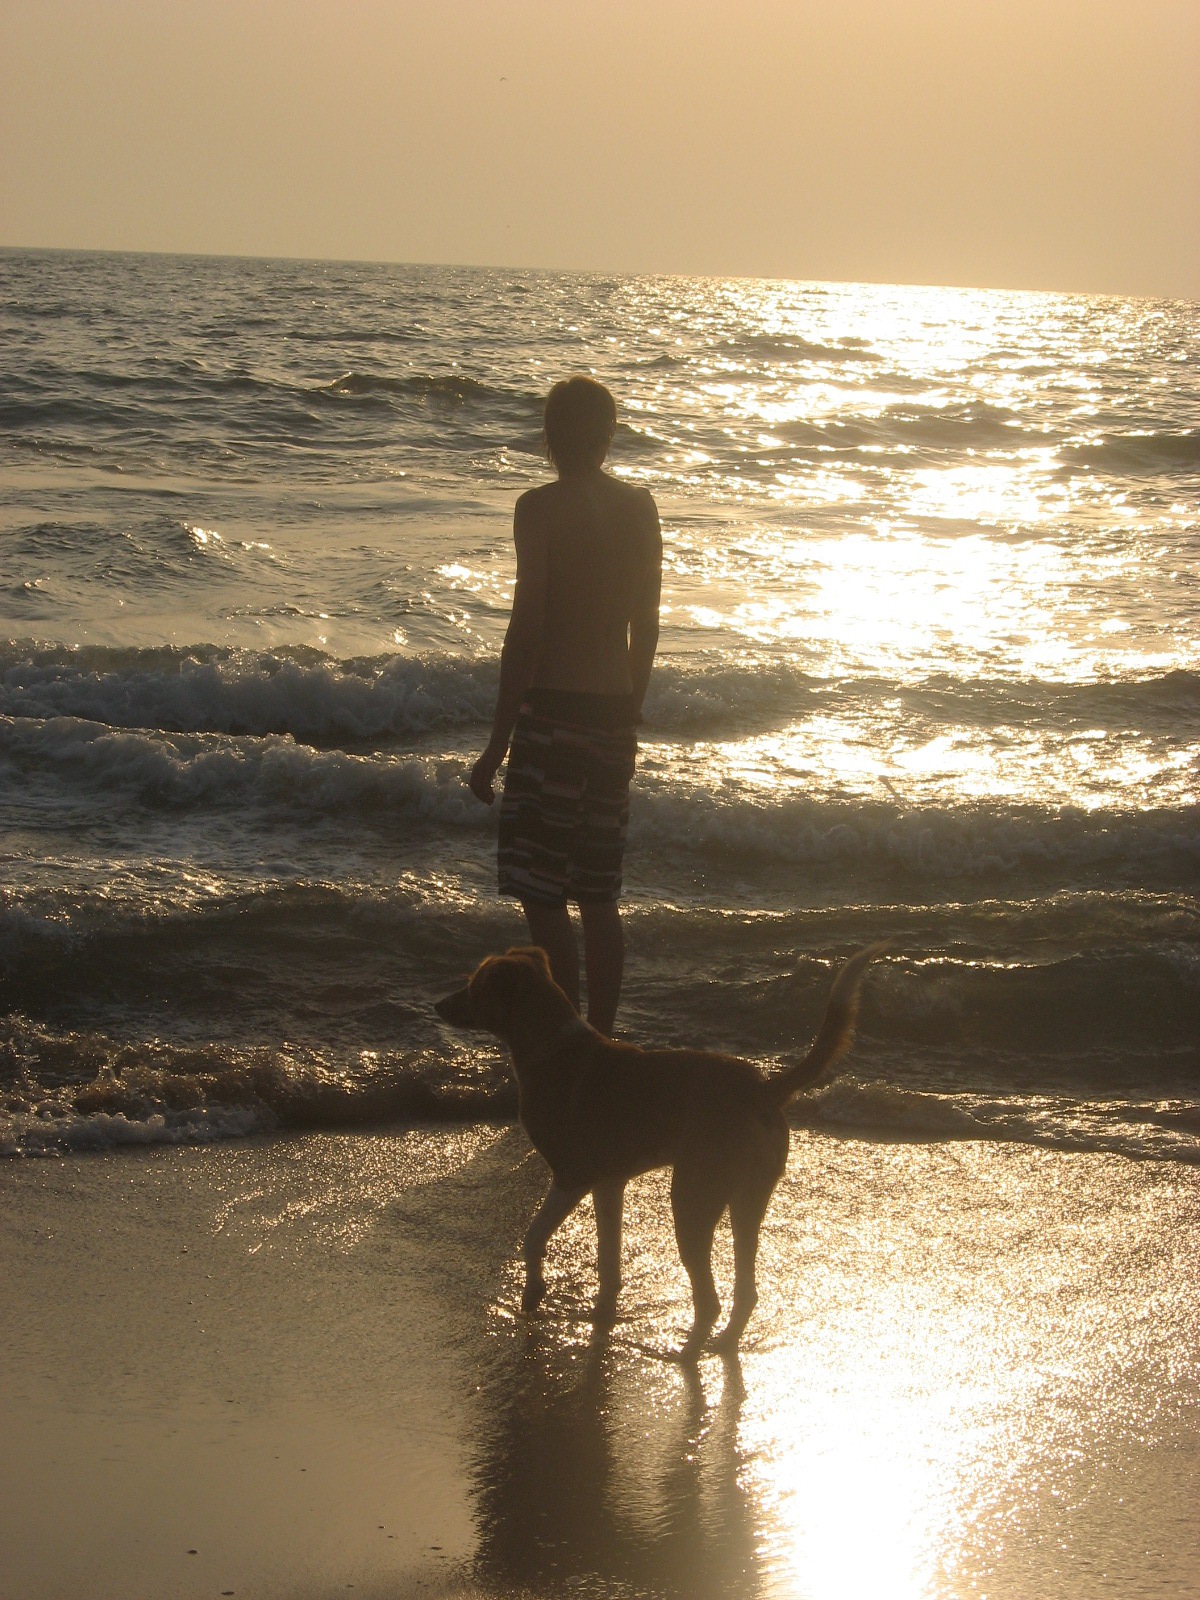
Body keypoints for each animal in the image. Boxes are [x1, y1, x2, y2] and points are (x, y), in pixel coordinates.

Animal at [435, 942, 884, 1356]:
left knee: (709, 1299)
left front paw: (532, 1293)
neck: (551, 1046)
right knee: (745, 1289)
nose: (437, 1005)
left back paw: (686, 1355)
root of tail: (763, 1089)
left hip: (692, 1200)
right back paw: (723, 1345)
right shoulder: (608, 1184)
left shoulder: (571, 1176)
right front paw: (602, 1313)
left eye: (474, 987)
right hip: (747, 1200)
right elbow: (608, 1258)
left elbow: (532, 1238)